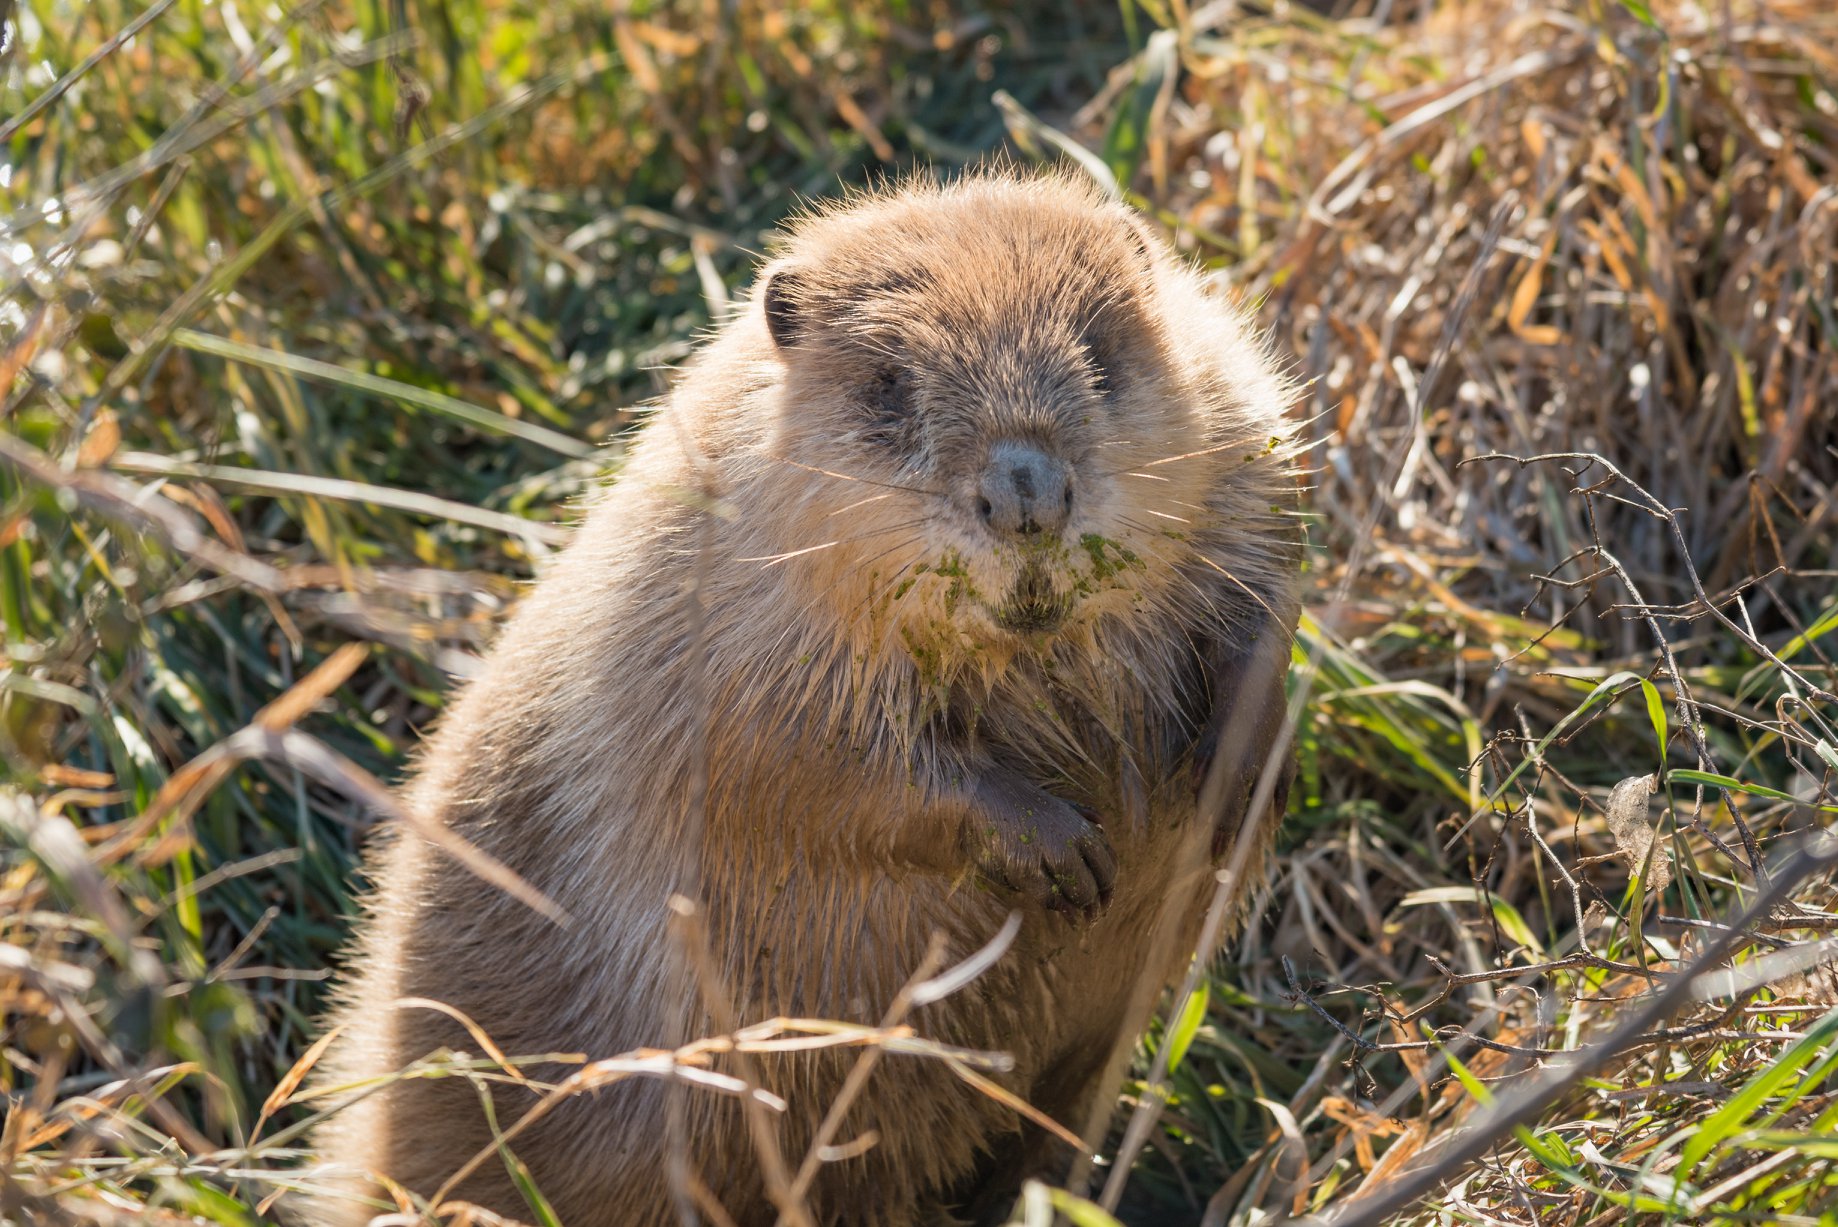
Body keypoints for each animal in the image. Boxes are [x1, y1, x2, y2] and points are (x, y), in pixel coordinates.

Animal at [308, 169, 1301, 1227]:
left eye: (1103, 355)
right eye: (889, 386)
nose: (1026, 494)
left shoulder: (1239, 415)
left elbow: (1268, 573)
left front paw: (1235, 772)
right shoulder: (711, 608)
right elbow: (808, 764)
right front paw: (1064, 851)